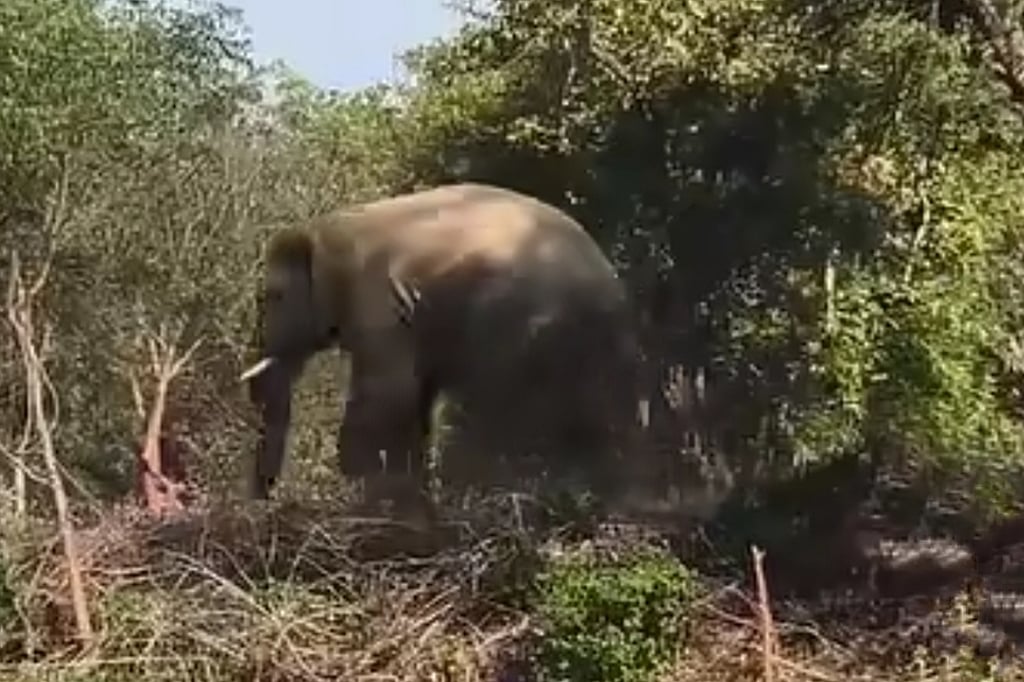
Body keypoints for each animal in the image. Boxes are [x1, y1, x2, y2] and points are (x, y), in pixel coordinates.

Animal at [241, 182, 646, 514]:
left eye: (272, 296)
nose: (262, 502)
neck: (324, 228)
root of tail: (614, 291)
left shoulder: (378, 302)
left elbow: (387, 396)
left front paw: (366, 500)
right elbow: (416, 396)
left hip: (524, 328)